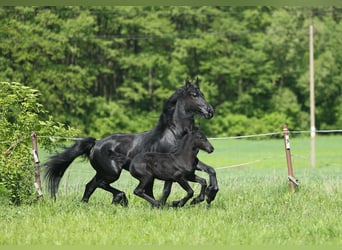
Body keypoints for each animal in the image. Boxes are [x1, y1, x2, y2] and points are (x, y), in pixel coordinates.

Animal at [44, 78, 219, 205]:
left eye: (202, 93)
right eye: (194, 94)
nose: (210, 111)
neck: (175, 134)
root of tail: (96, 144)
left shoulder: (191, 163)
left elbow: (210, 170)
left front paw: (209, 195)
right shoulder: (170, 167)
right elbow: (166, 191)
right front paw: (171, 204)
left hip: (104, 172)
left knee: (91, 185)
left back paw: (88, 203)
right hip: (112, 172)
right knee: (99, 184)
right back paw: (121, 198)